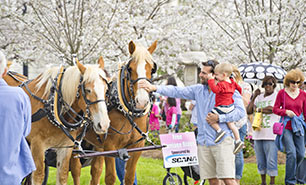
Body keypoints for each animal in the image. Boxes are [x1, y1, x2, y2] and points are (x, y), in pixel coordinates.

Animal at [3, 57, 111, 185]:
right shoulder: (38, 145)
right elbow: (38, 176)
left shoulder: (65, 148)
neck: (52, 105)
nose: (103, 124)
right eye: (88, 90)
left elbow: (62, 176)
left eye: (106, 89)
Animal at [70, 39, 158, 184]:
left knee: (96, 171)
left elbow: (129, 177)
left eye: (152, 69)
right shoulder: (110, 147)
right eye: (130, 69)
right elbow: (110, 177)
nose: (142, 101)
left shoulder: (137, 147)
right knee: (75, 169)